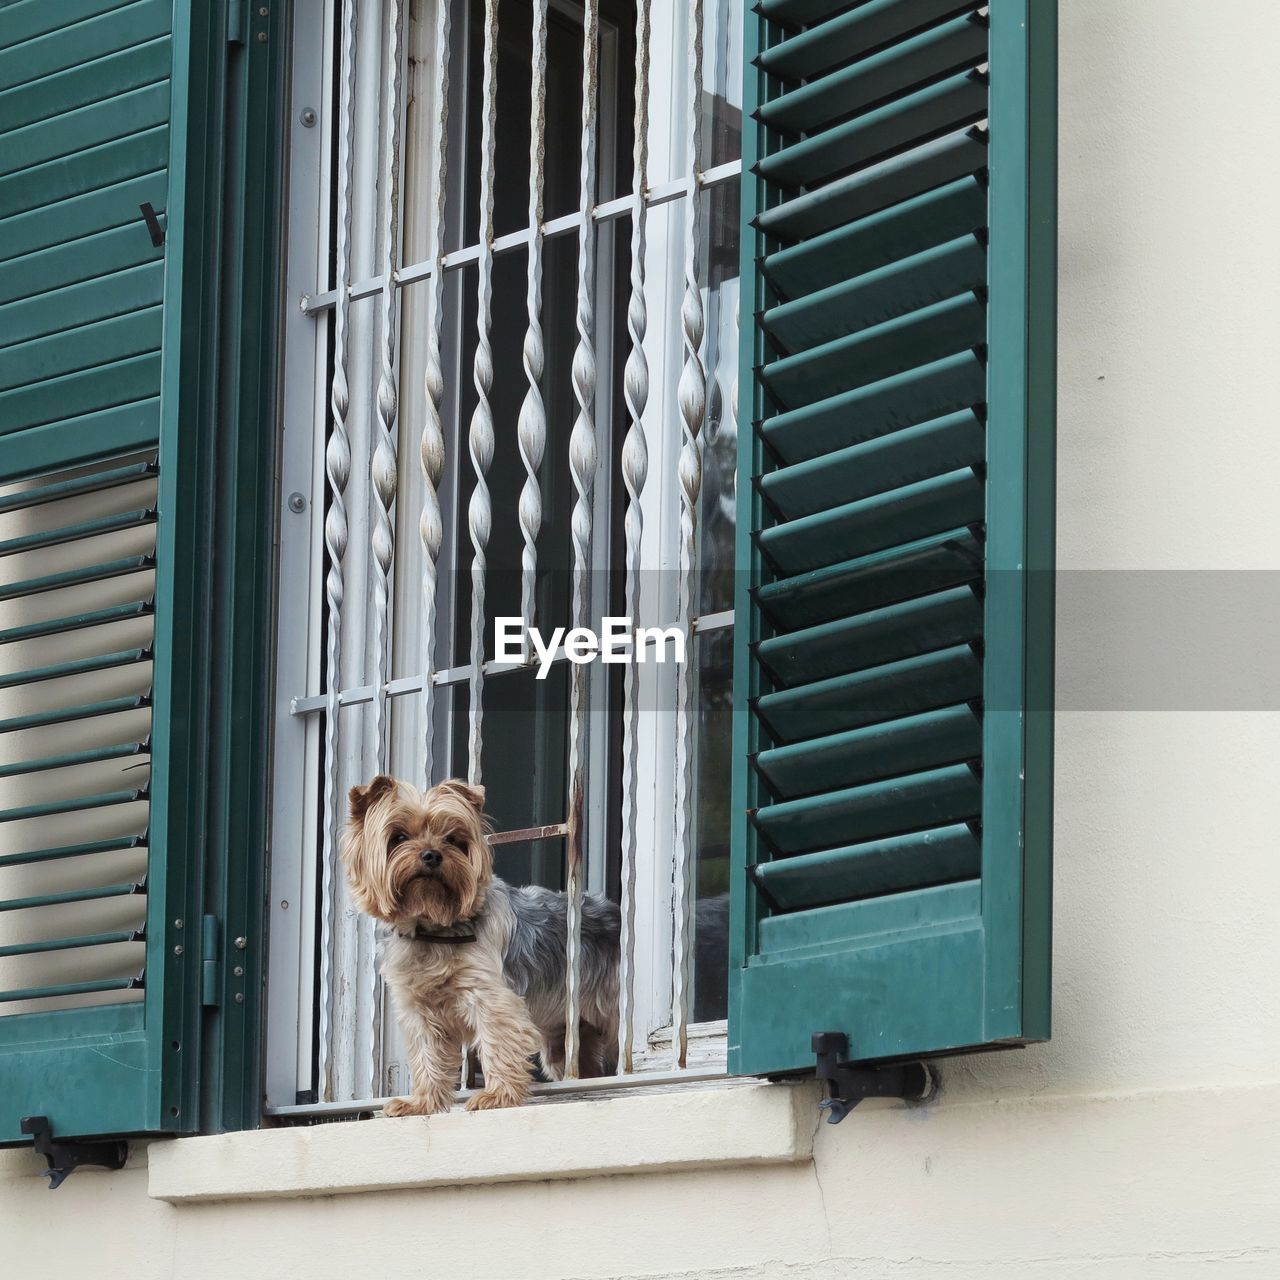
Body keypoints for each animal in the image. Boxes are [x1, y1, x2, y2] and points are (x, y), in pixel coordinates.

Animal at [340, 773, 619, 1116]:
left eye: (452, 839)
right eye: (399, 836)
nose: (432, 855)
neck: (433, 927)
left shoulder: (490, 995)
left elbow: (496, 1040)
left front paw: (496, 1096)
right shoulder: (418, 1007)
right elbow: (426, 1054)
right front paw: (421, 1103)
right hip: (565, 1036)